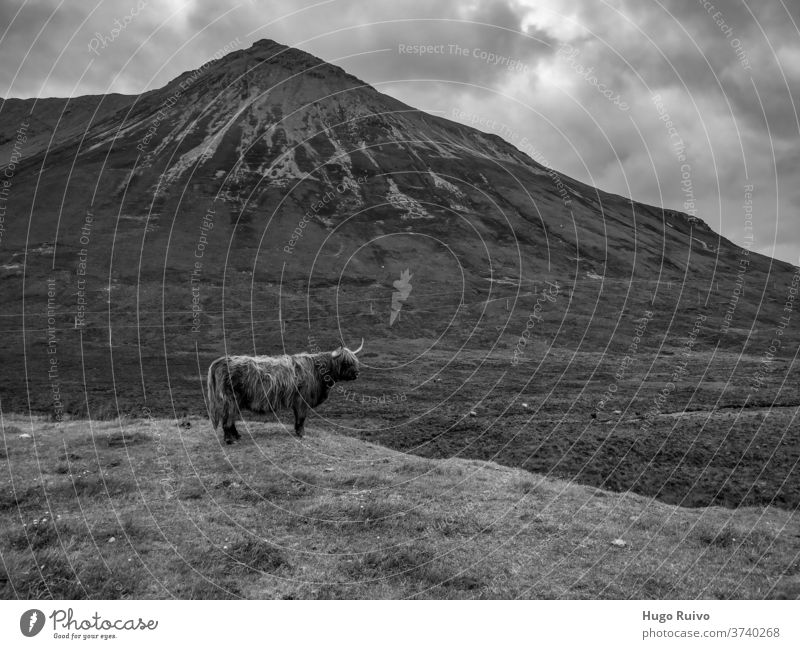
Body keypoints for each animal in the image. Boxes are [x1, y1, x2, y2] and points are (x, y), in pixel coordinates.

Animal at [206, 340, 362, 440]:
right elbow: (301, 417)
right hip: (230, 400)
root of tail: (221, 361)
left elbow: (297, 417)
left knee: (230, 419)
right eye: (346, 362)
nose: (356, 374)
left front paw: (297, 432)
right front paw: (302, 434)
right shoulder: (302, 400)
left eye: (355, 361)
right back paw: (229, 440)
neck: (318, 372)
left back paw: (237, 436)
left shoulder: (297, 402)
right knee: (227, 420)